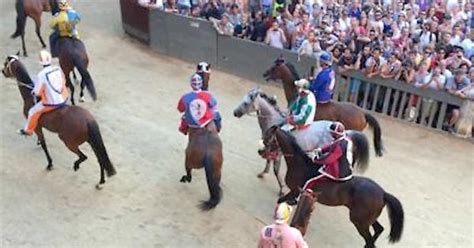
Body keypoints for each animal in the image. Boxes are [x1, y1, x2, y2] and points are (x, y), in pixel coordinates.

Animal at [1, 54, 115, 188]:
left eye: (6, 64)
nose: (2, 71)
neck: (29, 94)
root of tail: (88, 119)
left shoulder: (37, 125)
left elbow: (44, 145)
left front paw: (49, 163)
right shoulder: (39, 126)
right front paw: (38, 143)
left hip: (68, 141)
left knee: (84, 156)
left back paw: (76, 165)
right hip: (91, 141)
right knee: (100, 159)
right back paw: (101, 182)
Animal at [262, 127, 404, 247]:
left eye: (268, 137)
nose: (261, 151)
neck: (300, 164)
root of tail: (383, 193)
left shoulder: (294, 191)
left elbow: (280, 201)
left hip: (359, 221)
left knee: (370, 240)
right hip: (366, 219)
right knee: (378, 230)